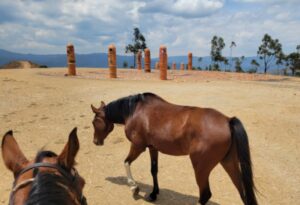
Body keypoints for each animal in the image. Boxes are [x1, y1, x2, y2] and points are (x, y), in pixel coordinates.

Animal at [91, 93, 258, 205]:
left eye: (94, 122)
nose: (95, 142)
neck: (134, 111)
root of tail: (227, 120)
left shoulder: (138, 146)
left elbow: (126, 162)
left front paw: (134, 187)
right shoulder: (153, 148)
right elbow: (154, 170)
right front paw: (153, 194)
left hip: (201, 167)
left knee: (205, 195)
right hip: (229, 163)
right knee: (243, 193)